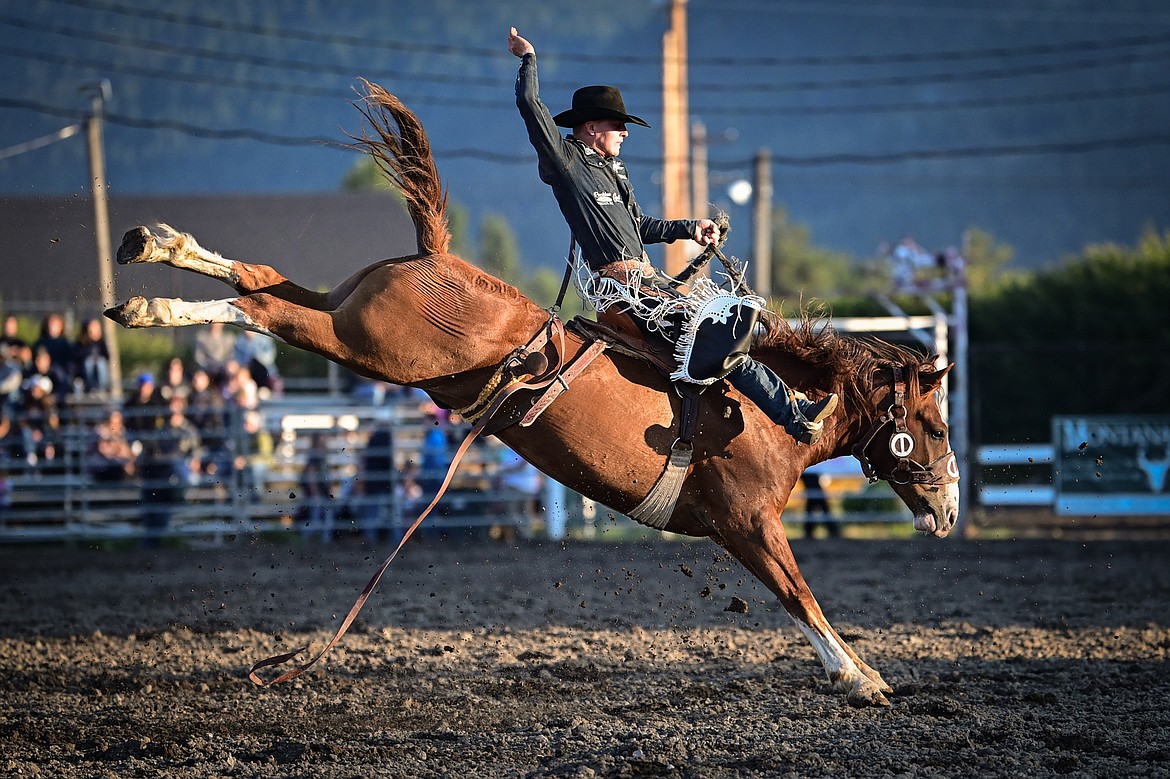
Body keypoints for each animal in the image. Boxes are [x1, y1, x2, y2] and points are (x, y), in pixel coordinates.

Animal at [102, 78, 959, 701]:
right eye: (939, 427)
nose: (950, 509)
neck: (760, 409)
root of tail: (437, 254)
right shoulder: (746, 521)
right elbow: (799, 594)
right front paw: (859, 675)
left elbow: (798, 594)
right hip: (370, 344)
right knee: (259, 308)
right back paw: (152, 297)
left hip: (351, 317)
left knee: (264, 283)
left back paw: (154, 253)